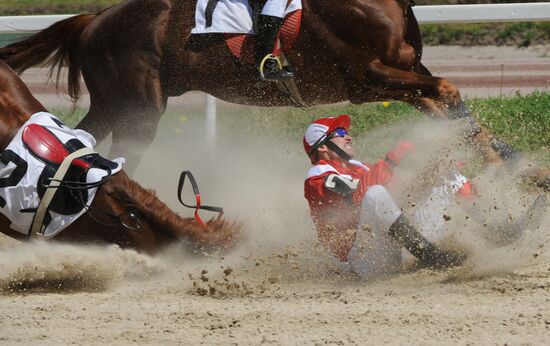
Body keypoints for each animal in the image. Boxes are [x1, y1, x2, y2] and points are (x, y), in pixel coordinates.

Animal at [0, 0, 508, 173]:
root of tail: (94, 20)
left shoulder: (403, 76)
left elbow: (447, 107)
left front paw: (508, 166)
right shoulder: (366, 79)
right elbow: (448, 91)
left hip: (114, 102)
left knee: (75, 139)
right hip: (139, 107)